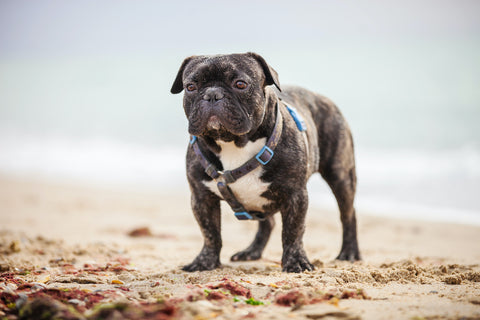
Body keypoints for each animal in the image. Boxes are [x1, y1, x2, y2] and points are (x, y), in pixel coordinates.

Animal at [170, 52, 360, 272]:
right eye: (191, 87)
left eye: (240, 84)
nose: (212, 94)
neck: (233, 144)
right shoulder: (201, 198)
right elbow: (210, 232)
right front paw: (205, 261)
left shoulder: (295, 195)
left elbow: (293, 231)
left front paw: (296, 261)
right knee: (267, 223)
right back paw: (252, 251)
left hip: (341, 175)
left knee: (348, 214)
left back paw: (349, 253)